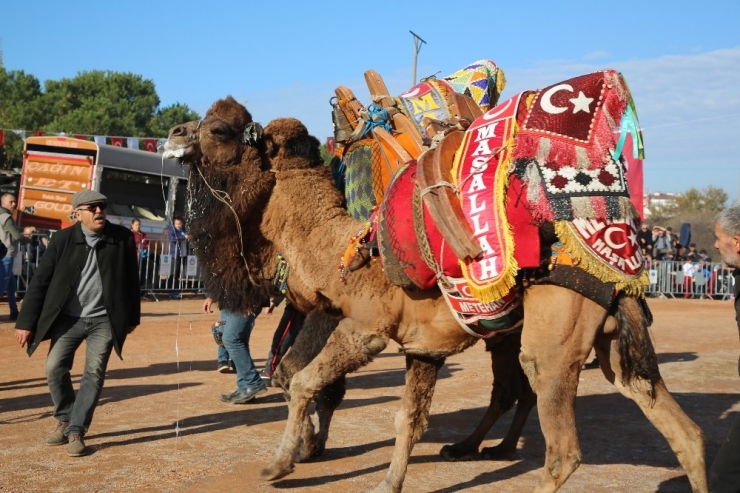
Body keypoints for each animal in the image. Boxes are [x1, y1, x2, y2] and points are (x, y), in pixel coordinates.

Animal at [165, 97, 708, 492]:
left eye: (218, 129)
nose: (172, 134)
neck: (343, 251)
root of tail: (625, 260)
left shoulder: (365, 327)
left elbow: (302, 382)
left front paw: (280, 466)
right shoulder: (422, 347)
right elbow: (408, 419)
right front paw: (386, 484)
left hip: (554, 338)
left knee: (560, 448)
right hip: (610, 341)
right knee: (683, 430)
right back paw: (478, 447)